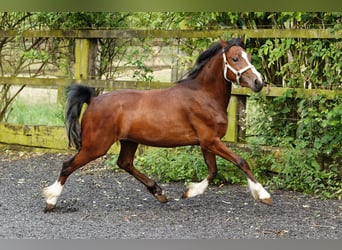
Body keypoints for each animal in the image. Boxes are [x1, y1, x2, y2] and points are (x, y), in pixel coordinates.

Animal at [43, 38, 272, 211]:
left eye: (249, 57)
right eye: (235, 58)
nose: (258, 82)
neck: (204, 95)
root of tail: (93, 100)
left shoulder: (207, 142)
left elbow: (213, 170)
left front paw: (189, 191)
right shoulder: (210, 141)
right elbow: (241, 161)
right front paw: (263, 195)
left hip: (129, 141)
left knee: (124, 163)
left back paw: (159, 192)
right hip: (95, 146)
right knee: (68, 165)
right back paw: (51, 199)